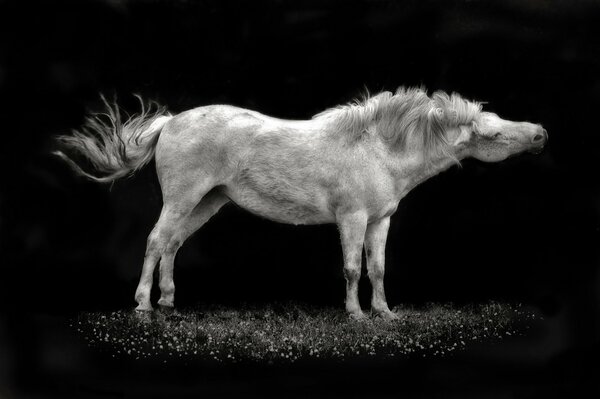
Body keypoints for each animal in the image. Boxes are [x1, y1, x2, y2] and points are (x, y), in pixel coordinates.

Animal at [56, 89, 548, 320]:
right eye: (495, 134)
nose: (540, 133)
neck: (378, 149)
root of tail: (171, 122)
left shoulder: (381, 221)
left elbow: (378, 268)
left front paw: (384, 312)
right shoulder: (352, 218)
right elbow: (352, 268)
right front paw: (356, 314)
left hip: (206, 202)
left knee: (173, 244)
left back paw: (169, 300)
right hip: (183, 197)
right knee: (157, 240)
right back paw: (143, 303)